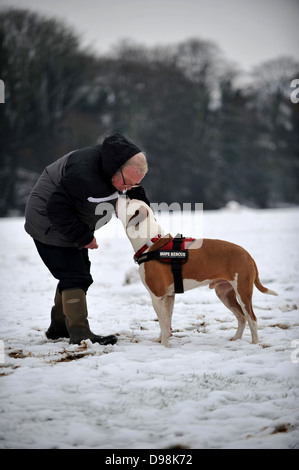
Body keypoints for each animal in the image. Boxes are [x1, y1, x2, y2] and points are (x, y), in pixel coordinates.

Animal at [117, 196, 278, 346]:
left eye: (128, 202)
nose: (122, 195)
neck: (150, 244)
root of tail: (248, 255)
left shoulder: (157, 296)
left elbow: (163, 324)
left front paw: (163, 346)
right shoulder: (169, 296)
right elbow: (167, 323)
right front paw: (161, 340)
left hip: (243, 292)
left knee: (252, 318)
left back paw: (254, 343)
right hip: (224, 293)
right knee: (241, 317)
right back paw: (236, 338)